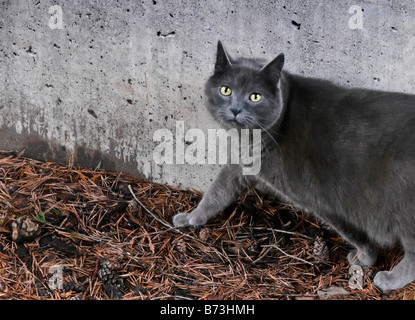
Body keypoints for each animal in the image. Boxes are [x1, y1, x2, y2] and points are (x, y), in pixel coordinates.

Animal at [172, 41, 415, 292]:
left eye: (255, 96)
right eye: (225, 90)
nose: (236, 110)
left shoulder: (320, 200)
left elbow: (352, 233)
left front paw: (365, 258)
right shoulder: (242, 165)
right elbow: (218, 191)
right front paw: (191, 217)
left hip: (403, 204)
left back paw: (391, 278)